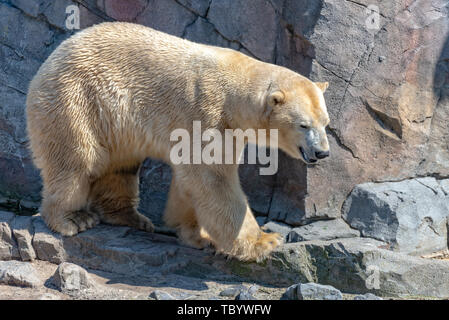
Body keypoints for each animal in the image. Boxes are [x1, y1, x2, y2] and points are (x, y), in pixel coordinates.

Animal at [27, 22, 328, 262]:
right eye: (304, 125)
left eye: (325, 122)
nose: (322, 152)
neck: (235, 93)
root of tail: (49, 61)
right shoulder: (208, 117)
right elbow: (214, 180)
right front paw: (264, 241)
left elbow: (189, 183)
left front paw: (196, 235)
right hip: (78, 99)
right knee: (77, 160)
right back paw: (72, 218)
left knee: (122, 164)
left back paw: (130, 217)